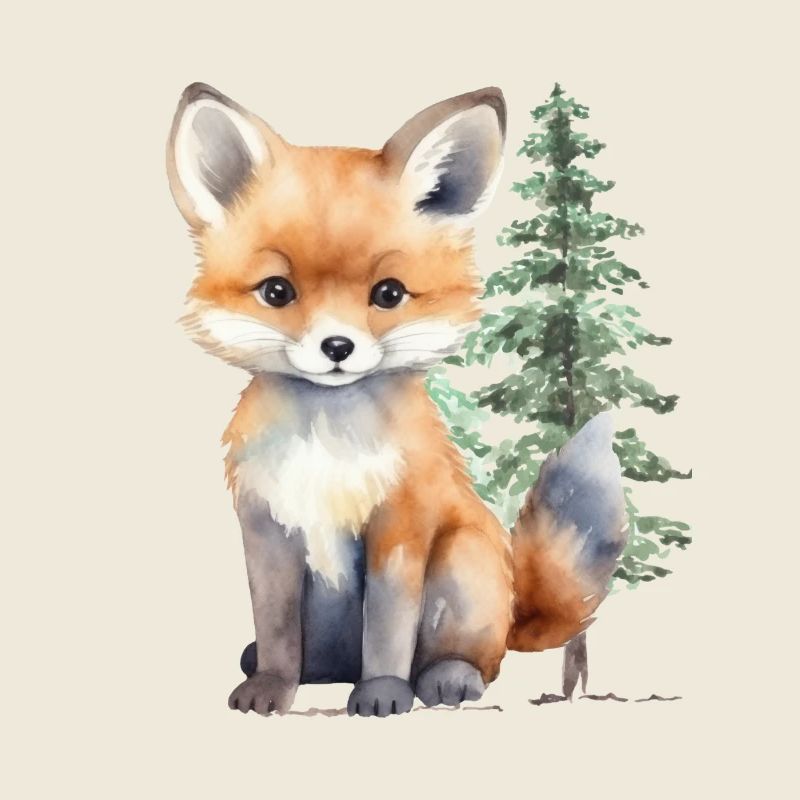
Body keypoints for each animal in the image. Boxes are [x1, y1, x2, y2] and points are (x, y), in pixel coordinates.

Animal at [166, 82, 627, 716]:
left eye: (388, 294)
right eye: (277, 291)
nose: (337, 346)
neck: (326, 445)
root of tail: (514, 609)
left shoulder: (400, 526)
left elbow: (387, 627)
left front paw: (383, 693)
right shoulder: (268, 529)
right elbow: (277, 626)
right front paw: (271, 687)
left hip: (461, 562)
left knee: (477, 660)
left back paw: (446, 679)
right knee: (316, 658)